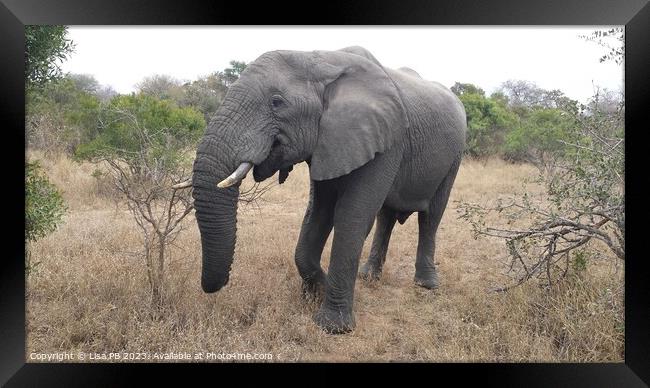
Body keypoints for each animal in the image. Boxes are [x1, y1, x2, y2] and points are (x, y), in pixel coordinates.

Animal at [187, 46, 466, 334]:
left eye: (277, 102)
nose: (215, 288)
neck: (321, 59)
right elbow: (317, 214)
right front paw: (316, 291)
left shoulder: (387, 140)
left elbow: (351, 216)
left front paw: (333, 326)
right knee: (386, 217)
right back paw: (368, 277)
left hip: (455, 156)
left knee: (431, 217)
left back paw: (426, 285)